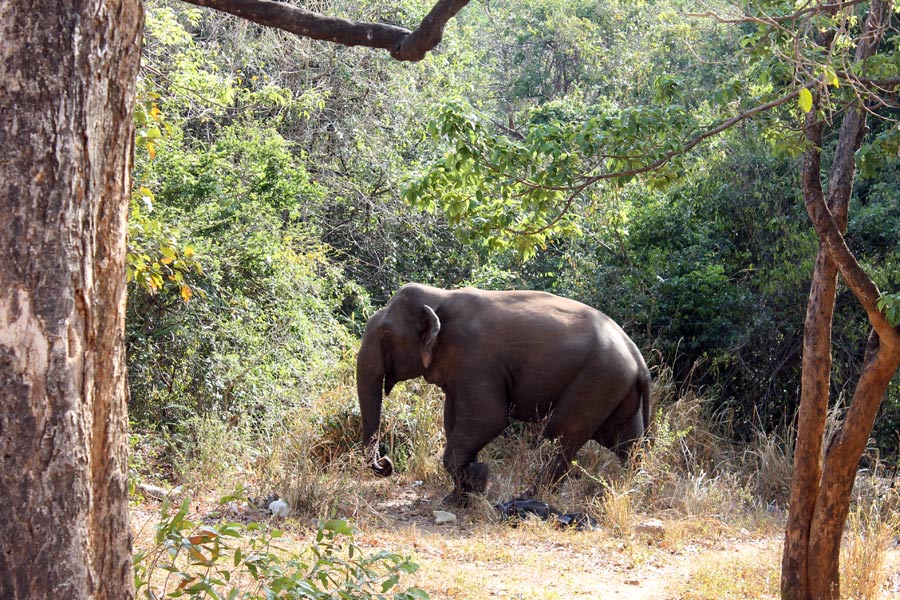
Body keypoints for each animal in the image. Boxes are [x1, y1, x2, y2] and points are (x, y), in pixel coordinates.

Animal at [356, 282, 652, 506]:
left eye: (385, 334)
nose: (385, 463)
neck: (441, 295)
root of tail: (638, 357)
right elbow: (453, 420)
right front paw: (458, 497)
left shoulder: (476, 358)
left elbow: (490, 418)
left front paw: (479, 480)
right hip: (615, 386)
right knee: (625, 440)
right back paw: (633, 487)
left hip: (597, 380)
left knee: (564, 435)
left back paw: (528, 497)